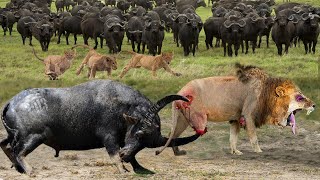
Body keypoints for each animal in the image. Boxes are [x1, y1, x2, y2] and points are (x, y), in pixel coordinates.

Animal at [155, 63, 316, 156]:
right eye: (300, 98)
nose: (314, 105)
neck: (267, 94)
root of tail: (181, 90)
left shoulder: (236, 119)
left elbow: (233, 137)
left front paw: (235, 152)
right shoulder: (248, 114)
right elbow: (253, 137)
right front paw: (258, 151)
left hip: (183, 117)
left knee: (172, 134)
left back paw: (178, 153)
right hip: (193, 117)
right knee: (174, 134)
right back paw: (177, 152)